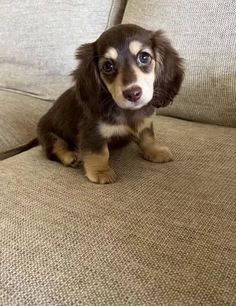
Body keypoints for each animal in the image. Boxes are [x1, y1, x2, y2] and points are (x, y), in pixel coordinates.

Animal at [0, 23, 184, 183]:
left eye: (144, 57)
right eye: (108, 66)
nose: (132, 93)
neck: (127, 112)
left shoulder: (145, 123)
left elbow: (148, 138)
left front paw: (156, 151)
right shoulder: (92, 132)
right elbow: (99, 154)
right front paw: (100, 172)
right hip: (48, 133)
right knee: (56, 147)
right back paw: (70, 156)